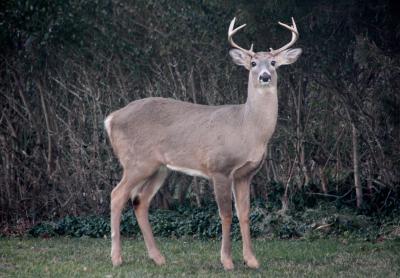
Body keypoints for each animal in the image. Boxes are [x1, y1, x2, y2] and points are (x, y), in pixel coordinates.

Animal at [104, 16, 302, 270]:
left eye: (274, 62)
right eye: (253, 63)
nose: (265, 76)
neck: (247, 127)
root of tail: (111, 119)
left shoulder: (245, 174)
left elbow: (244, 214)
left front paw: (251, 260)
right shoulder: (220, 168)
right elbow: (226, 214)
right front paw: (227, 261)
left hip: (159, 167)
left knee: (140, 201)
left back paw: (158, 258)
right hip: (136, 161)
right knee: (116, 195)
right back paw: (116, 258)